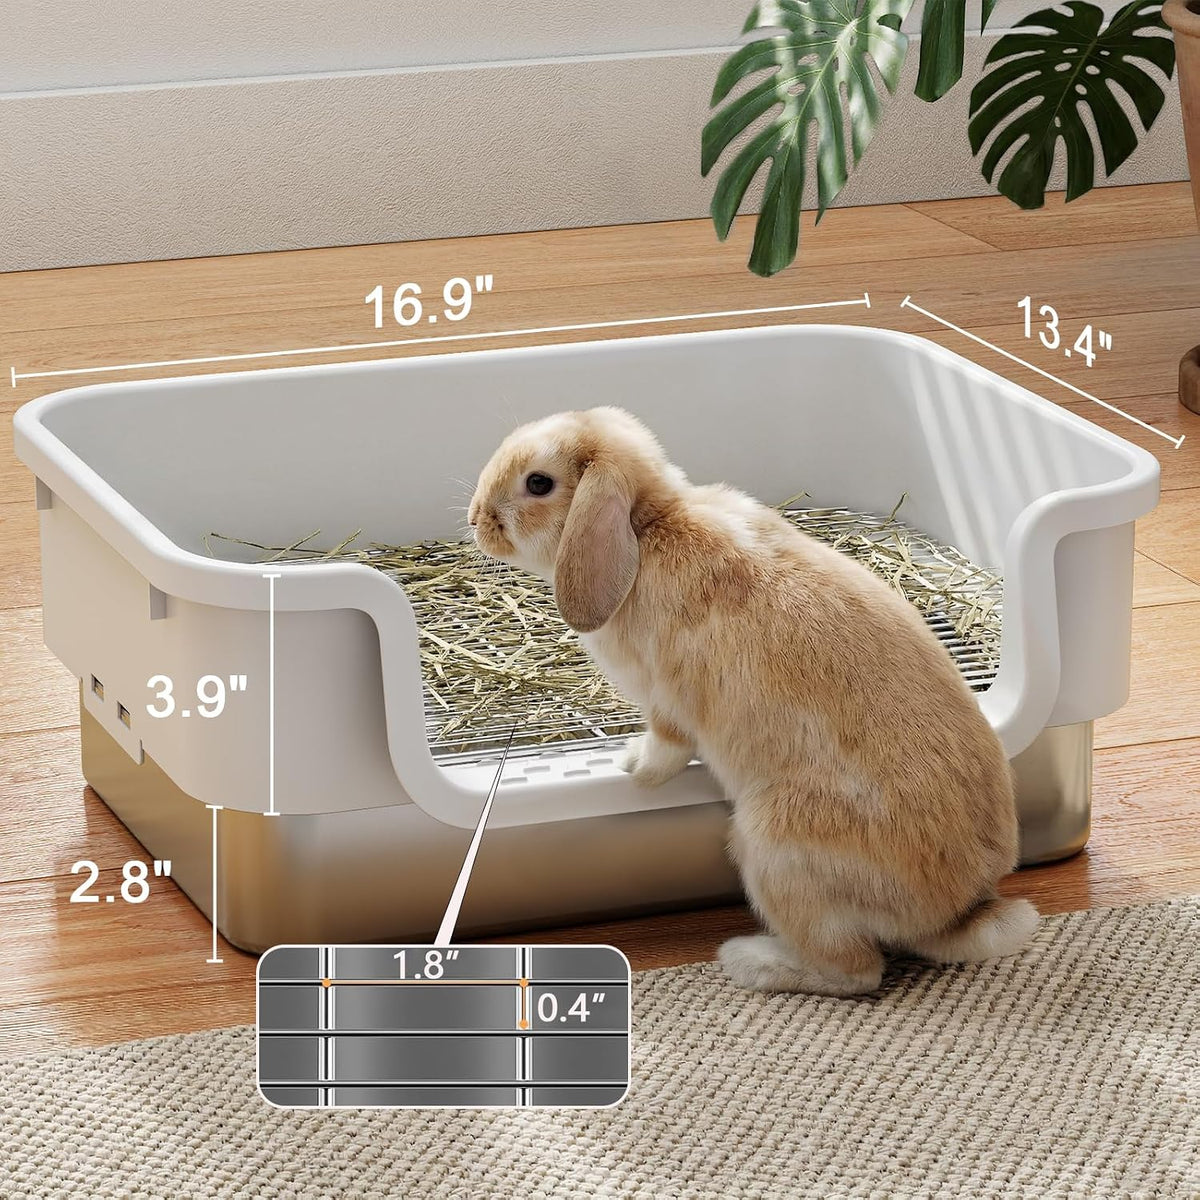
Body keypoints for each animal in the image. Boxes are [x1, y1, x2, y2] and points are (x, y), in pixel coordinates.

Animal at [468, 406, 1037, 996]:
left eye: (538, 483)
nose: (475, 519)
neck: (649, 529)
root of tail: (957, 912)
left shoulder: (667, 700)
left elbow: (665, 744)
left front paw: (633, 767)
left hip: (774, 850)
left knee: (855, 971)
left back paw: (749, 960)